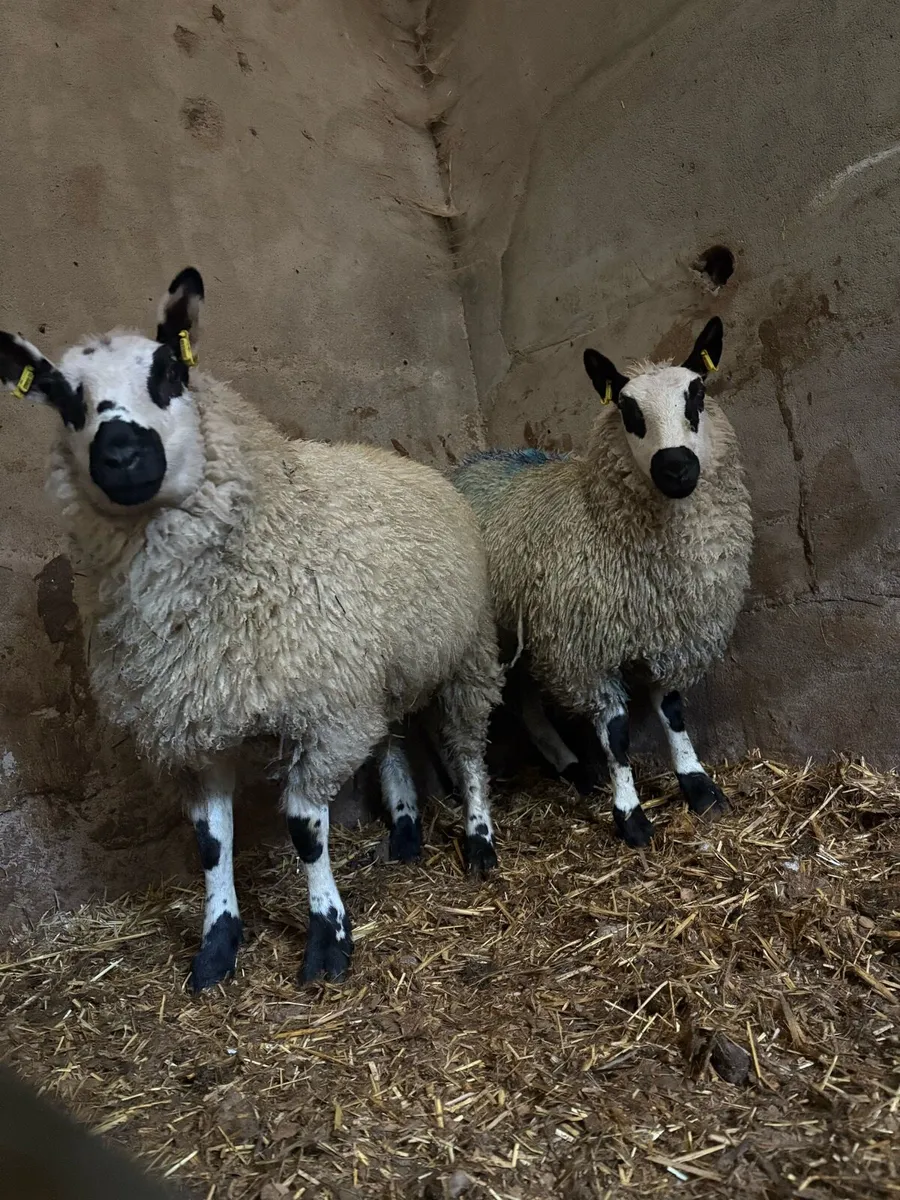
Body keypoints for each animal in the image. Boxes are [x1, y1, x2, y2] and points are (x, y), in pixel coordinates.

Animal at [0, 268, 503, 991]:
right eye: (66, 398)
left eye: (170, 371)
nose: (120, 454)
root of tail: (402, 460)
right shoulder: (195, 724)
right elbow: (212, 844)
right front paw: (216, 946)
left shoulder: (324, 715)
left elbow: (304, 830)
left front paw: (327, 940)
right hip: (378, 674)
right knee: (391, 741)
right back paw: (406, 834)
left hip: (467, 655)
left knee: (466, 749)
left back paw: (479, 840)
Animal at [453, 318, 752, 847]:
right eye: (628, 410)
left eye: (696, 396)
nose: (676, 468)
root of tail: (468, 466)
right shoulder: (585, 650)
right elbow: (616, 736)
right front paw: (630, 815)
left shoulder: (672, 634)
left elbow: (673, 711)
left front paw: (699, 786)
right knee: (464, 730)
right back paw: (478, 827)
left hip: (517, 634)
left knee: (526, 704)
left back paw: (572, 767)